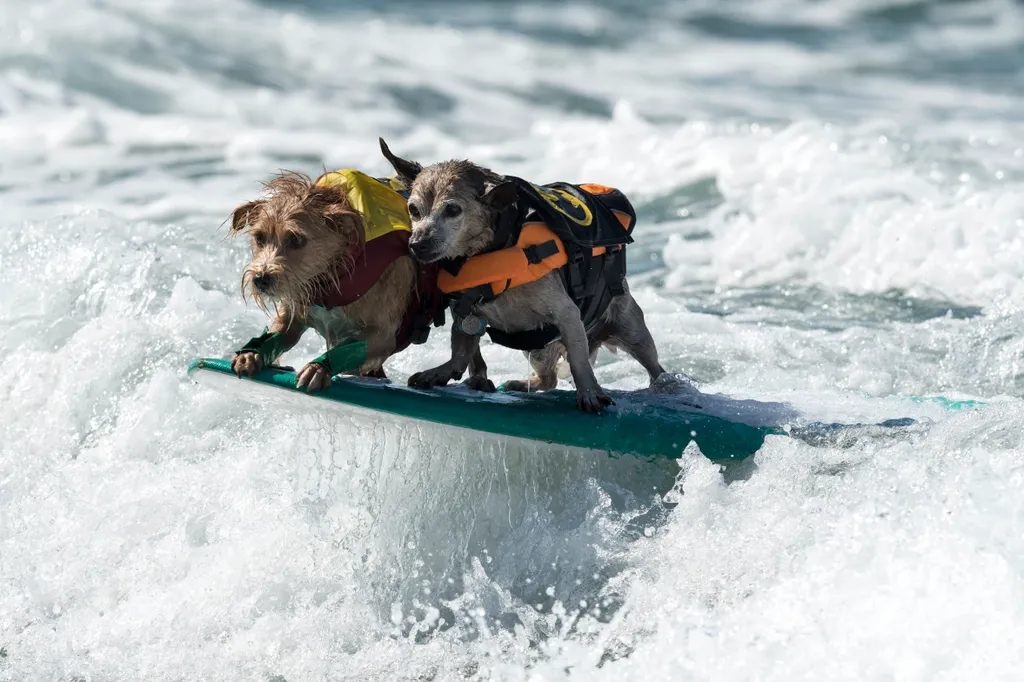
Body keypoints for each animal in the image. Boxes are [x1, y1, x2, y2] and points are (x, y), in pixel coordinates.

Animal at [229, 173, 419, 391]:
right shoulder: (296, 308)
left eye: (296, 239)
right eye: (259, 238)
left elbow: (350, 348)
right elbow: (278, 330)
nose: (260, 279)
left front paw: (318, 368)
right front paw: (251, 353)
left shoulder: (383, 335)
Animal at [380, 139, 667, 409]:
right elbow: (462, 351)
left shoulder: (567, 314)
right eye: (413, 210)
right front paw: (442, 372)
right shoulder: (465, 314)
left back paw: (665, 386)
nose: (417, 244)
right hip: (538, 350)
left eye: (452, 210)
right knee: (548, 379)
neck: (489, 250)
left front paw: (589, 392)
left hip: (631, 328)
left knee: (654, 367)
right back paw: (520, 383)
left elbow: (579, 361)